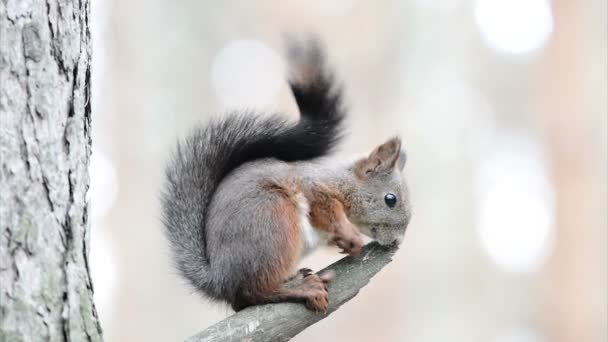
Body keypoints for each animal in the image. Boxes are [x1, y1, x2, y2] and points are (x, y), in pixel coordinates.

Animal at [159, 38, 410, 312]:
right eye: (390, 199)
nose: (397, 241)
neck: (345, 182)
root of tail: (221, 280)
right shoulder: (314, 186)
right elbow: (326, 209)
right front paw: (350, 236)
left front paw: (344, 244)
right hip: (273, 219)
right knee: (254, 292)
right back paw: (303, 288)